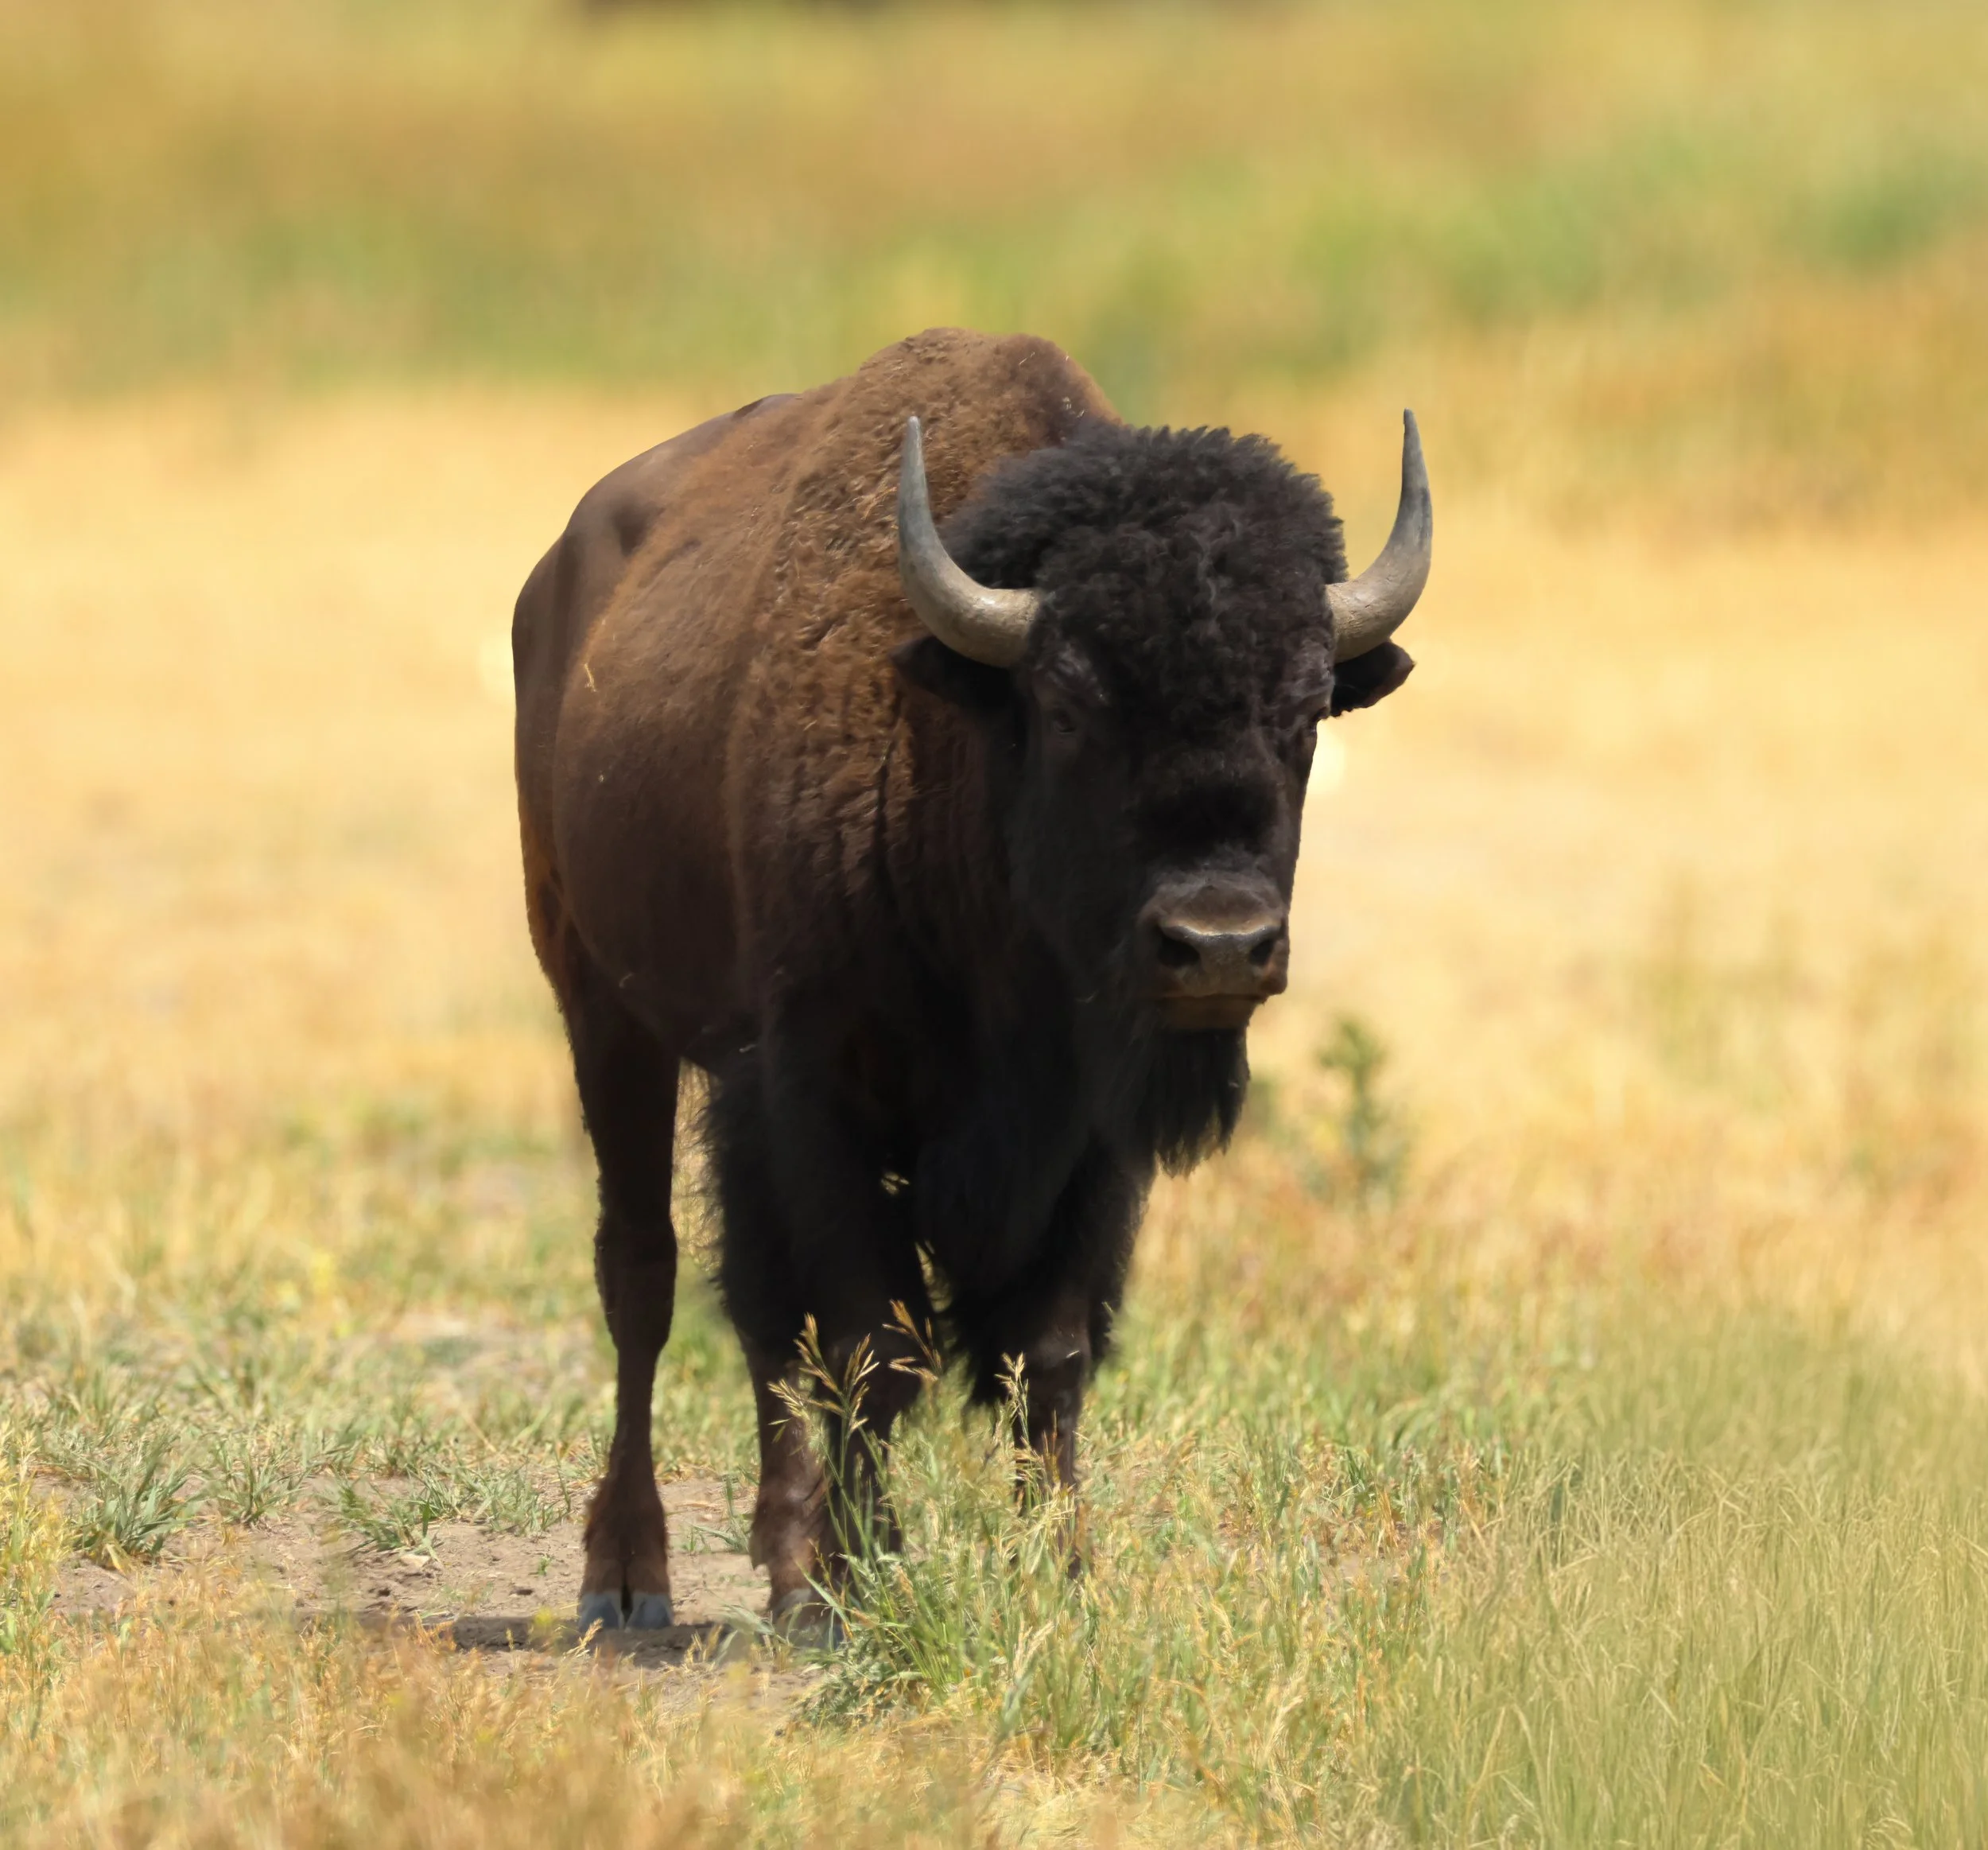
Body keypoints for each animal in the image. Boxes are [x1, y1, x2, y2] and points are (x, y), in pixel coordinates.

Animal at [511, 328, 1430, 1631]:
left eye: (1304, 709)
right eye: (1069, 702)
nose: (1218, 942)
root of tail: (557, 581)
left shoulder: (1088, 1137)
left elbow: (1046, 1354)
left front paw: (1061, 1573)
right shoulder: (822, 1092)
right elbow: (872, 1338)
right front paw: (856, 1578)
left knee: (755, 1319)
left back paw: (774, 1549)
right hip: (600, 1008)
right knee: (645, 1275)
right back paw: (630, 1576)